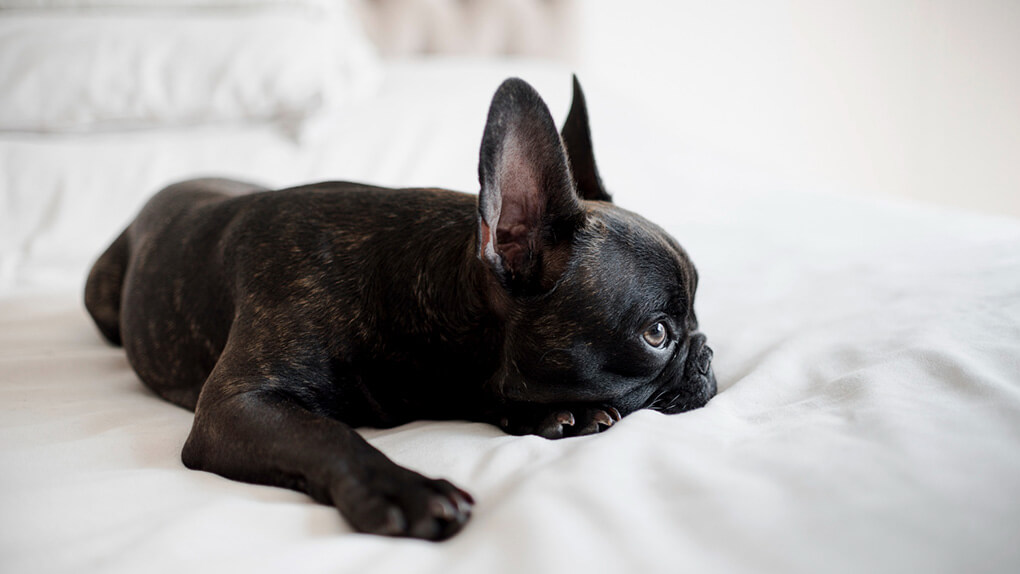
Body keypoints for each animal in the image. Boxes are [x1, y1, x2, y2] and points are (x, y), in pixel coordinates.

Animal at [85, 76, 718, 538]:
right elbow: (326, 435)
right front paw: (407, 490)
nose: (707, 352)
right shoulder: (235, 406)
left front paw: (556, 414)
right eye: (657, 333)